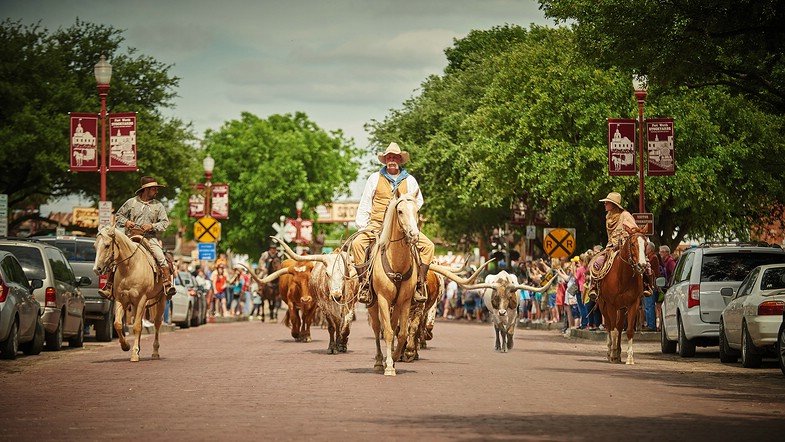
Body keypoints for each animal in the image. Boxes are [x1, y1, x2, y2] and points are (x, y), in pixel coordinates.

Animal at [95, 228, 168, 362]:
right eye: (95, 246)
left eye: (107, 245)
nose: (96, 269)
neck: (129, 268)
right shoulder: (120, 300)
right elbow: (118, 324)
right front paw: (126, 346)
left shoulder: (141, 300)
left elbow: (137, 327)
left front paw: (134, 354)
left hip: (161, 299)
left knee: (157, 323)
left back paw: (155, 352)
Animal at [596, 226, 648, 364]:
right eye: (632, 244)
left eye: (646, 244)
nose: (642, 265)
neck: (623, 276)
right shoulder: (611, 305)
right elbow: (613, 330)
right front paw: (613, 354)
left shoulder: (633, 304)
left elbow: (628, 331)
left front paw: (629, 358)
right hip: (603, 305)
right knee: (609, 326)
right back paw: (611, 351)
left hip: (622, 308)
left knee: (619, 327)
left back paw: (618, 353)